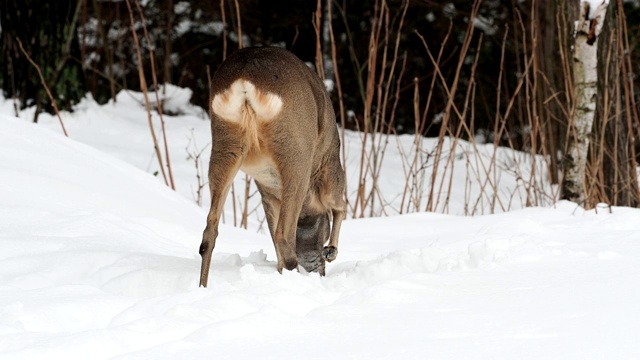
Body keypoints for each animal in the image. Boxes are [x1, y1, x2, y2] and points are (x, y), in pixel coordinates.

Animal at [201, 46, 348, 286]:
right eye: (323, 231)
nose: (318, 270)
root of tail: (245, 77)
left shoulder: (267, 192)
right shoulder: (330, 166)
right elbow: (339, 205)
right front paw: (332, 250)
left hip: (224, 143)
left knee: (209, 232)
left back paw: (202, 287)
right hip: (296, 151)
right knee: (283, 236)